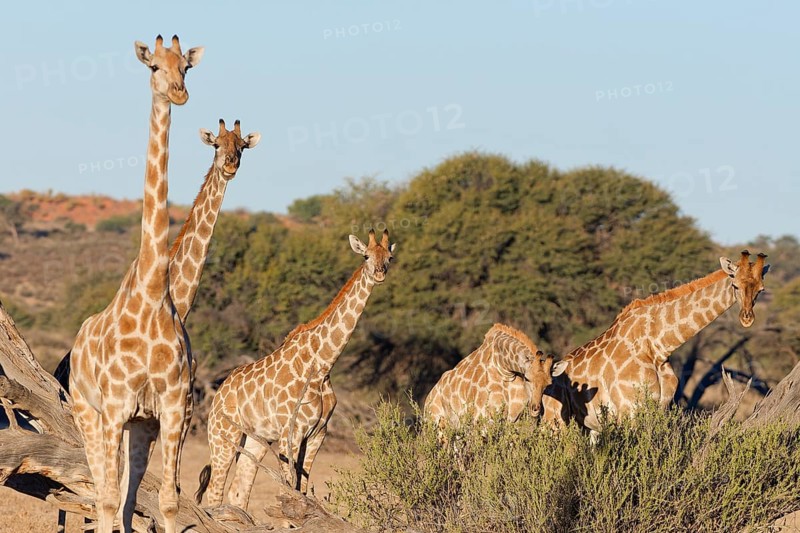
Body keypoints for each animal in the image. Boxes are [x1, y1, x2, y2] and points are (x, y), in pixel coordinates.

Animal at [68, 35, 203, 533]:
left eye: (186, 66)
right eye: (153, 68)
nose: (179, 93)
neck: (151, 293)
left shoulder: (169, 408)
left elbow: (165, 501)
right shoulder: (114, 408)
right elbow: (106, 499)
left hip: (137, 426)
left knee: (126, 497)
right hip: (87, 412)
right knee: (103, 492)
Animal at [194, 229, 396, 510]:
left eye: (389, 257)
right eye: (366, 256)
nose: (379, 274)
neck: (321, 365)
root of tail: (217, 396)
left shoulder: (317, 434)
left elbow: (302, 489)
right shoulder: (291, 434)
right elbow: (290, 491)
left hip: (255, 440)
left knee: (238, 491)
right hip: (222, 435)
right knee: (215, 492)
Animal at [424, 323, 559, 427]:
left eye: (548, 384)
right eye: (527, 378)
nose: (536, 409)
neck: (505, 369)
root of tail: (428, 398)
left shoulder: (514, 419)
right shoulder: (483, 418)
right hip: (437, 425)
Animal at [542, 251, 770, 439]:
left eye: (761, 289)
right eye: (735, 285)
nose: (747, 318)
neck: (658, 346)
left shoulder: (661, 407)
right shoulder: (629, 411)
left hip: (589, 427)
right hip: (554, 421)